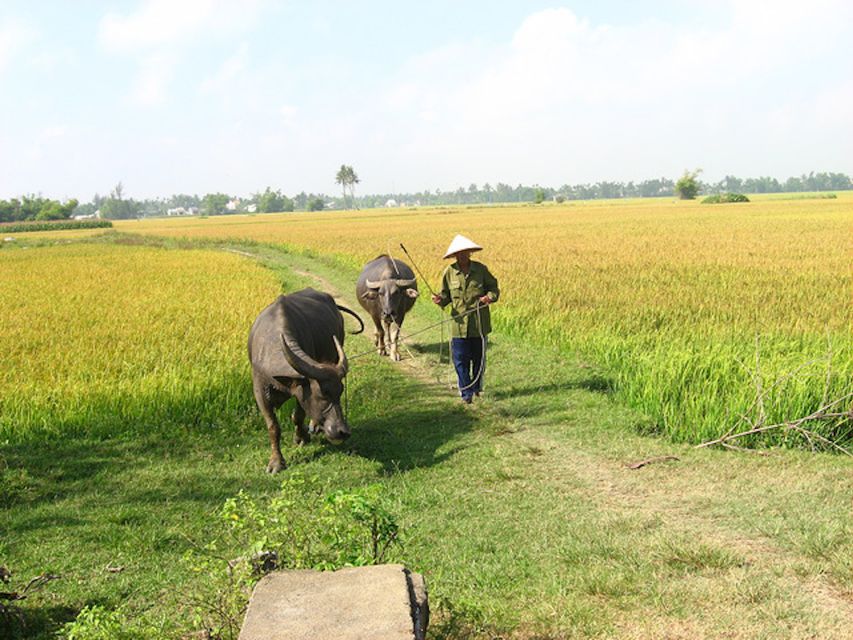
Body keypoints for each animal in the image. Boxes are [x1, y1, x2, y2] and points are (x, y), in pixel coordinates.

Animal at [248, 288, 364, 472]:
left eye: (340, 392)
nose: (343, 432)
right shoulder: (260, 392)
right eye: (321, 394)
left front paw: (301, 438)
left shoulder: (300, 390)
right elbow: (273, 427)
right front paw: (276, 462)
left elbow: (298, 416)